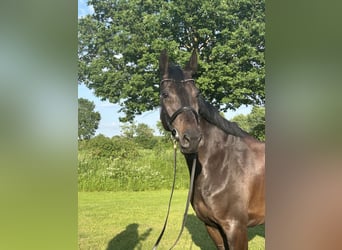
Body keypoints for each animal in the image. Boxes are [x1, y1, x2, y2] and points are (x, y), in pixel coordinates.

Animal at [159, 49, 266, 249]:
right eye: (165, 94)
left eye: (197, 94)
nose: (192, 138)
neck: (220, 163)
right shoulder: (212, 227)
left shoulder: (235, 227)